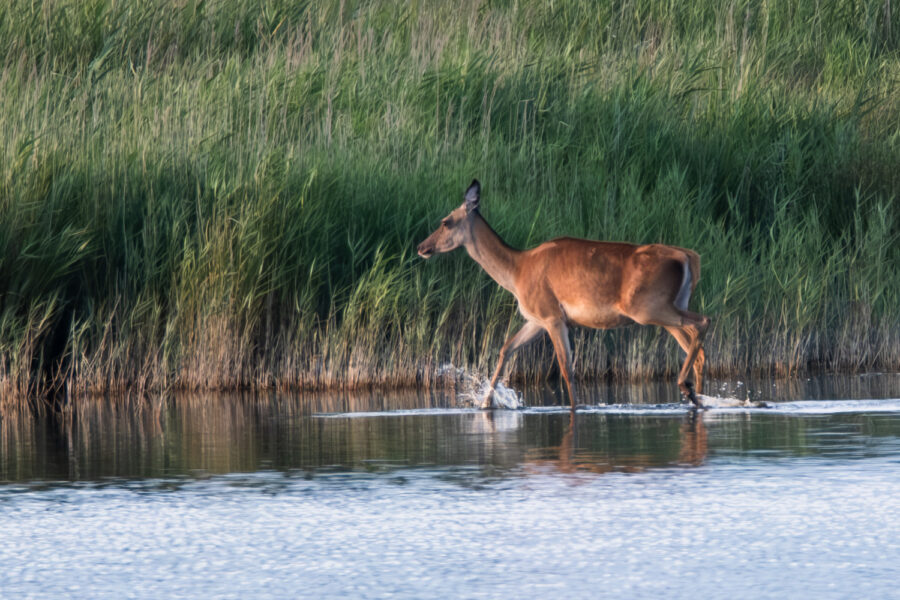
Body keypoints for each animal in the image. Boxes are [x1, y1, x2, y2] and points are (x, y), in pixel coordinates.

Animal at [417, 179, 711, 411]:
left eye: (446, 222)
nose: (422, 247)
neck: (516, 272)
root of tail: (689, 257)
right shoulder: (536, 320)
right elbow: (505, 349)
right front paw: (486, 404)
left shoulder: (552, 316)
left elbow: (567, 370)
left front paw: (575, 408)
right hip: (669, 306)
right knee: (699, 350)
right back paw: (699, 397)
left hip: (647, 308)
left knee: (703, 322)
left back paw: (686, 387)